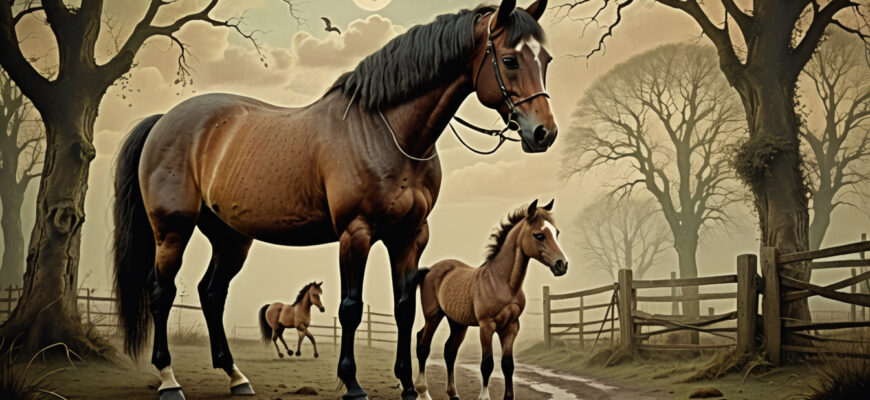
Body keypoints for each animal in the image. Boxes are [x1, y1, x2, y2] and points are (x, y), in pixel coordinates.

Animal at [411, 200, 568, 400]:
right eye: (539, 235)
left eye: (556, 232)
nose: (562, 264)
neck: (503, 282)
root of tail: (430, 270)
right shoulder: (486, 326)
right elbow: (487, 364)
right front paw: (484, 397)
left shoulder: (511, 327)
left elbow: (507, 364)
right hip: (433, 316)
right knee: (423, 346)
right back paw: (423, 392)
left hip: (458, 323)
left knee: (449, 351)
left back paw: (453, 393)